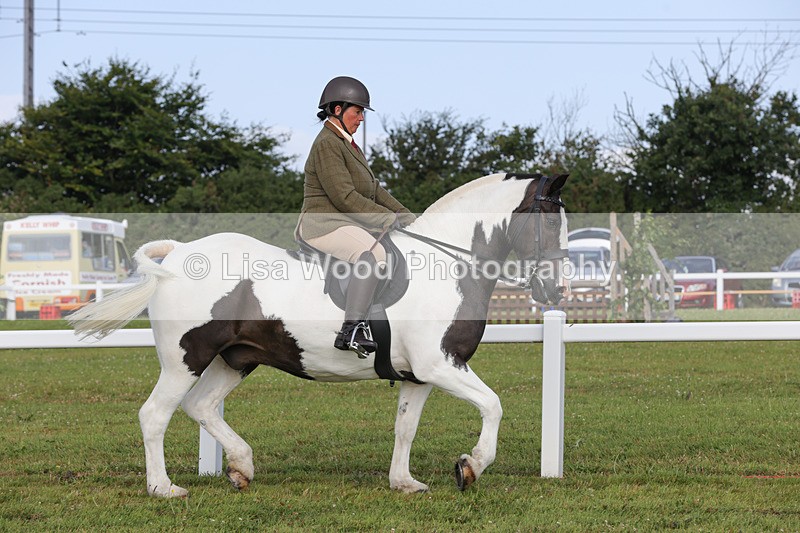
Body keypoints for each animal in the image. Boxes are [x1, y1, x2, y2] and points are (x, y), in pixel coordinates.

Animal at [69, 172, 569, 498]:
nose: (557, 290)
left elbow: (405, 426)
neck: (448, 264)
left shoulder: (419, 374)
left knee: (201, 406)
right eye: (548, 221)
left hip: (236, 358)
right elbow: (493, 405)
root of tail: (178, 254)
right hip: (185, 359)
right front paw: (470, 467)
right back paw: (164, 488)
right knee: (156, 414)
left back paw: (241, 467)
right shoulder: (440, 364)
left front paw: (404, 482)